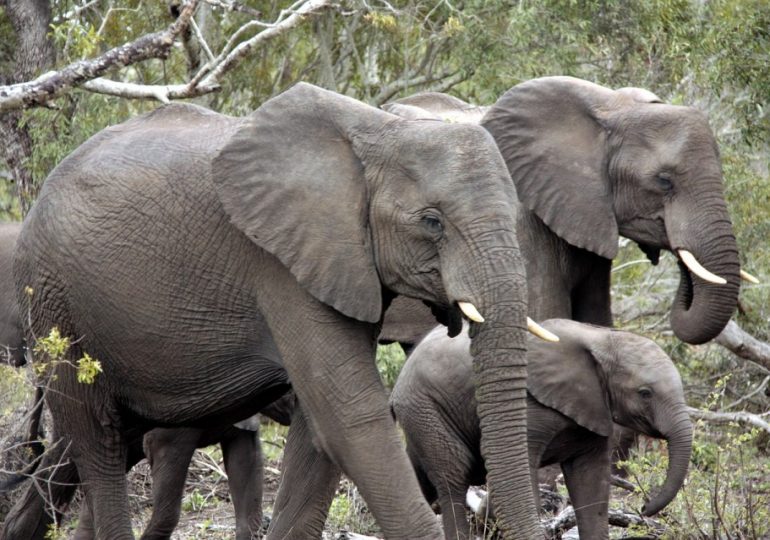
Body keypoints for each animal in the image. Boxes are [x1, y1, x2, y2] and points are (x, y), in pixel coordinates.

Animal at [9, 82, 540, 536]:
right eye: (432, 222)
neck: (380, 130)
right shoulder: (281, 266)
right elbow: (348, 419)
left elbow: (317, 435)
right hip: (56, 302)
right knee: (97, 442)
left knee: (85, 447)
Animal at [390, 320, 688, 540]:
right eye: (645, 393)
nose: (644, 507)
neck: (600, 337)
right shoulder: (527, 407)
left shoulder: (594, 409)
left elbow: (590, 484)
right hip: (426, 408)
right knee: (453, 478)